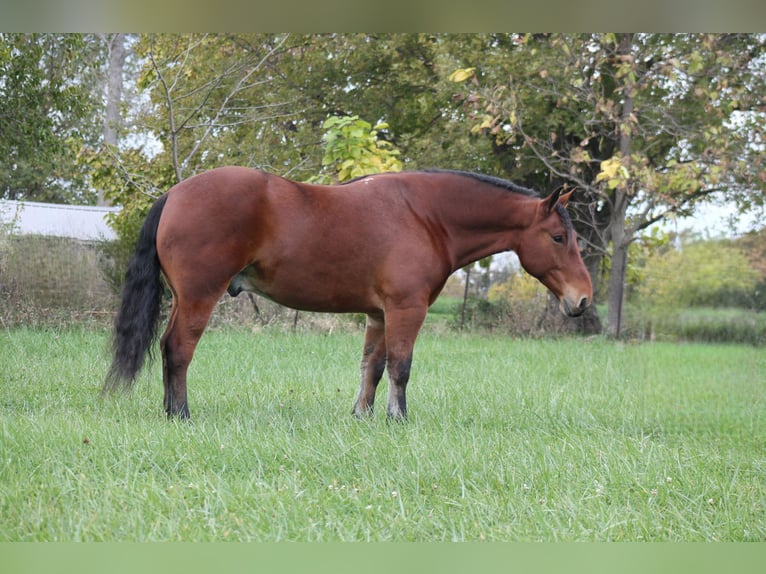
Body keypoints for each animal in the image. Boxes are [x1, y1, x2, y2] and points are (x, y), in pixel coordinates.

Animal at [105, 167, 592, 420]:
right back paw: (181, 414)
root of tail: (175, 193)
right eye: (557, 238)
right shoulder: (406, 310)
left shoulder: (378, 314)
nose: (583, 299)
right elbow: (400, 367)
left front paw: (363, 416)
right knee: (178, 349)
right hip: (199, 297)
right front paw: (398, 418)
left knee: (168, 348)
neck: (425, 216)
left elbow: (371, 368)